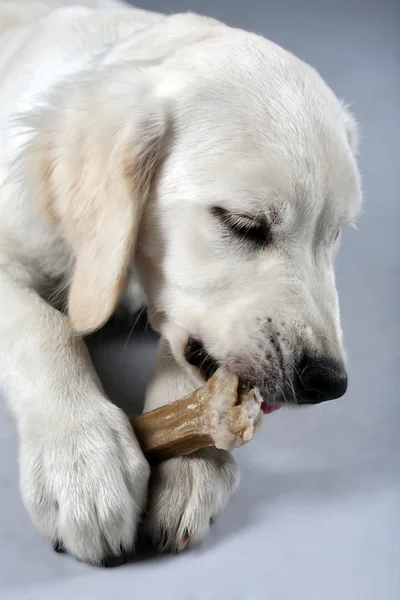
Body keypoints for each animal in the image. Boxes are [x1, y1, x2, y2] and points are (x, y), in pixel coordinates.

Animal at [0, 0, 360, 564]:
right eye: (243, 223)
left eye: (336, 234)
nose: (328, 383)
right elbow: (42, 326)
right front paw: (82, 454)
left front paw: (192, 466)